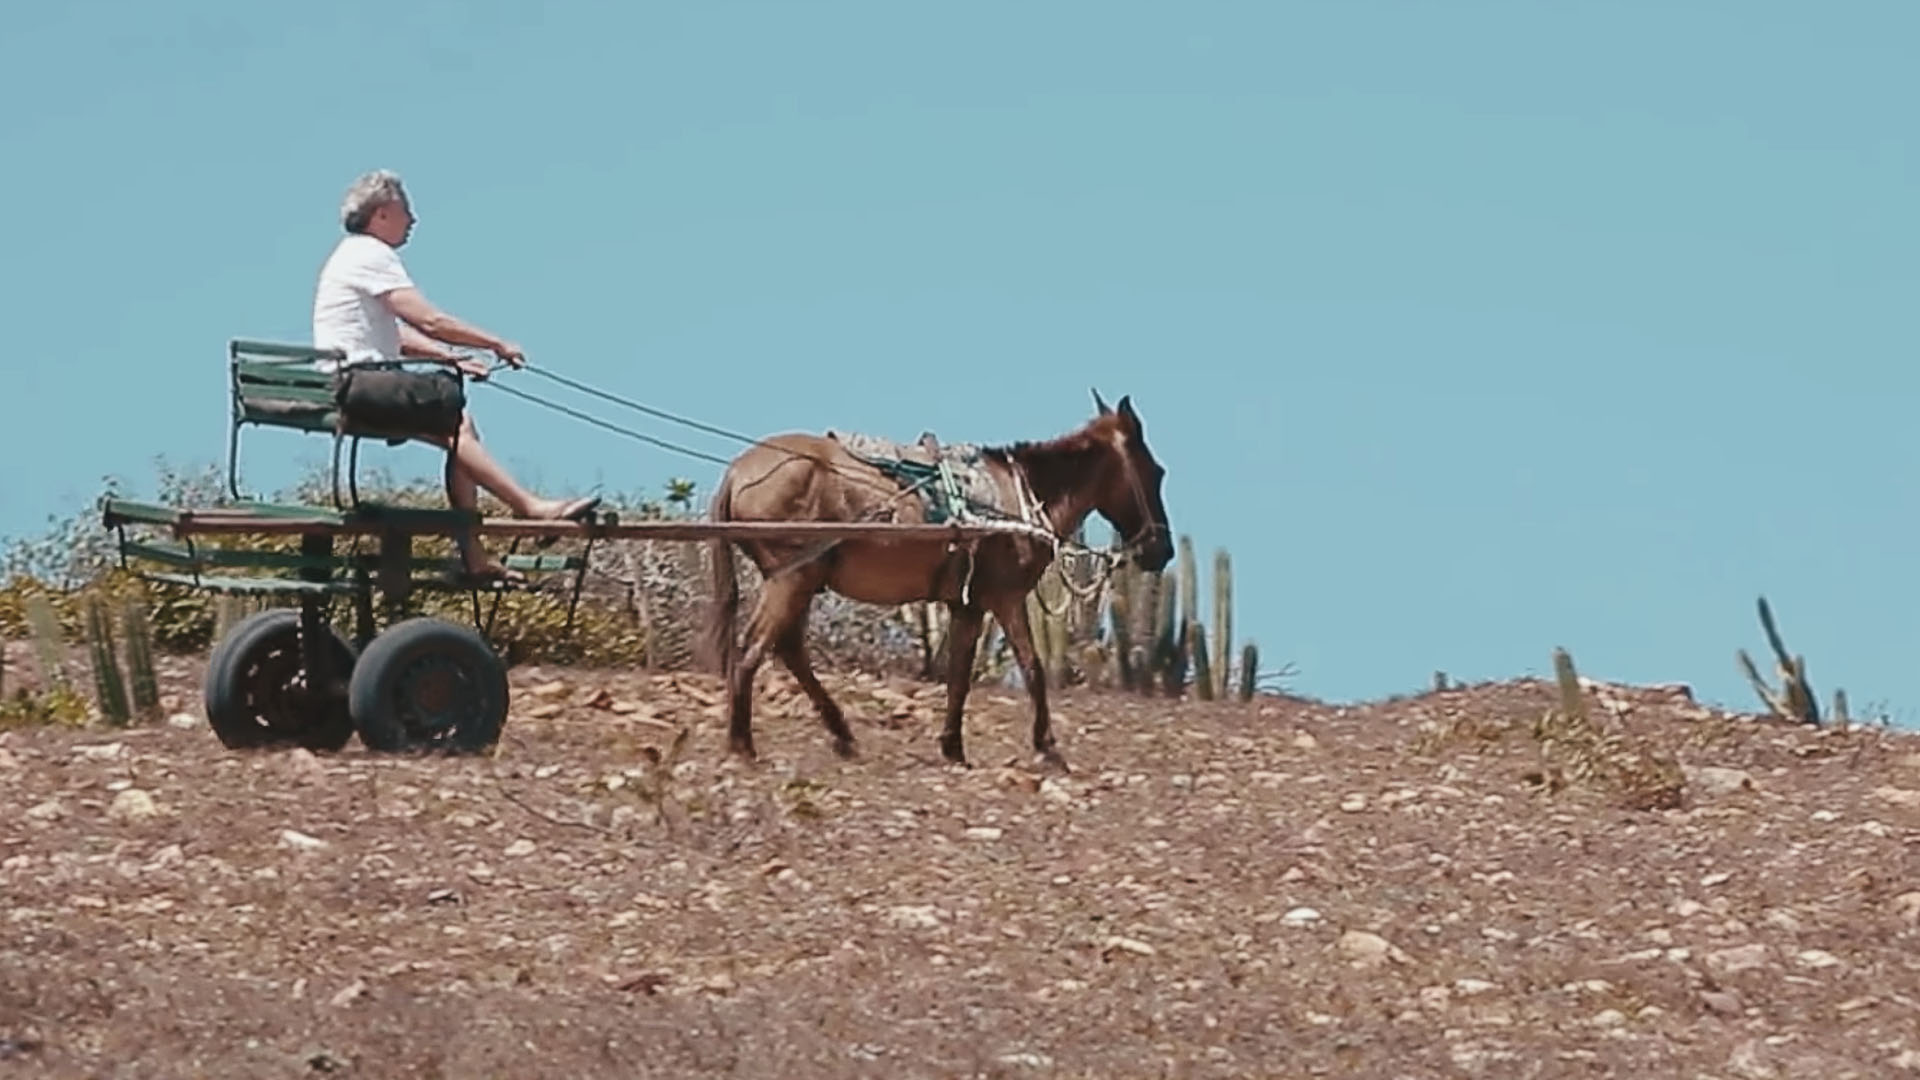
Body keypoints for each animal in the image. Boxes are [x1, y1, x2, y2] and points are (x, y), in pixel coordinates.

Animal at [702, 390, 1167, 768]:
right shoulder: (1002, 598)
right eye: (1157, 472)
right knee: (753, 647)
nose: (1161, 551)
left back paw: (840, 735)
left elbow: (959, 674)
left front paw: (953, 747)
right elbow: (1030, 667)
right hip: (792, 578)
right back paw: (743, 745)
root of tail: (737, 471)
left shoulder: (965, 604)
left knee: (789, 649)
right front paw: (1047, 747)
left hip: (797, 581)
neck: (1018, 498)